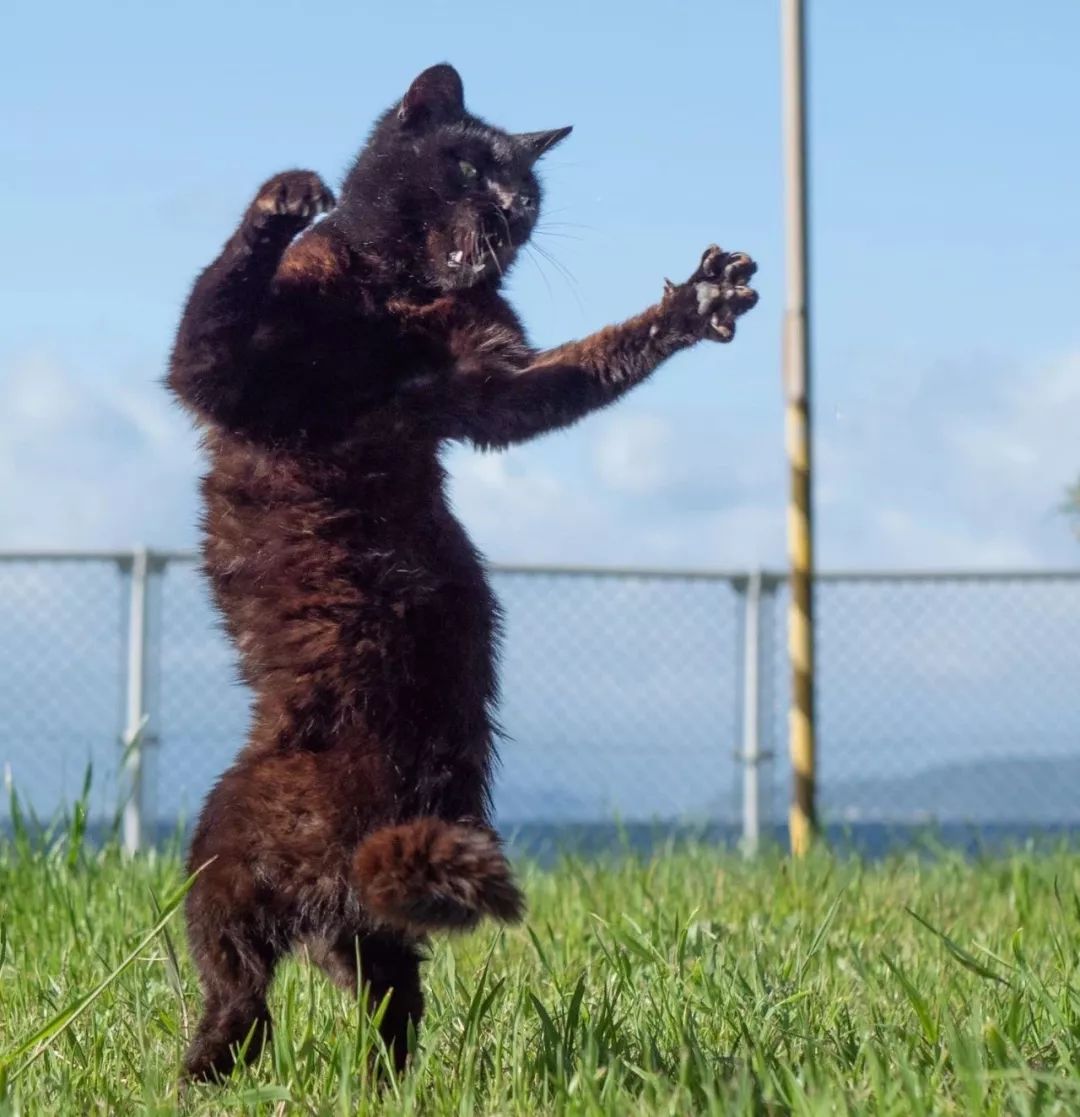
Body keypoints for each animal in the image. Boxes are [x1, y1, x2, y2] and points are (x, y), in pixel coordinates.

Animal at [170, 63, 759, 1081]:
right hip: (302, 905)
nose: (509, 211)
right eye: (472, 166)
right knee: (317, 1002)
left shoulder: (490, 380)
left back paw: (234, 1079)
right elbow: (224, 295)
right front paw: (285, 199)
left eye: (527, 196)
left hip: (245, 874)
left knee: (266, 1006)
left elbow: (589, 361)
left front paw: (692, 304)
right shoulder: (230, 370)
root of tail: (350, 853)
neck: (392, 301)